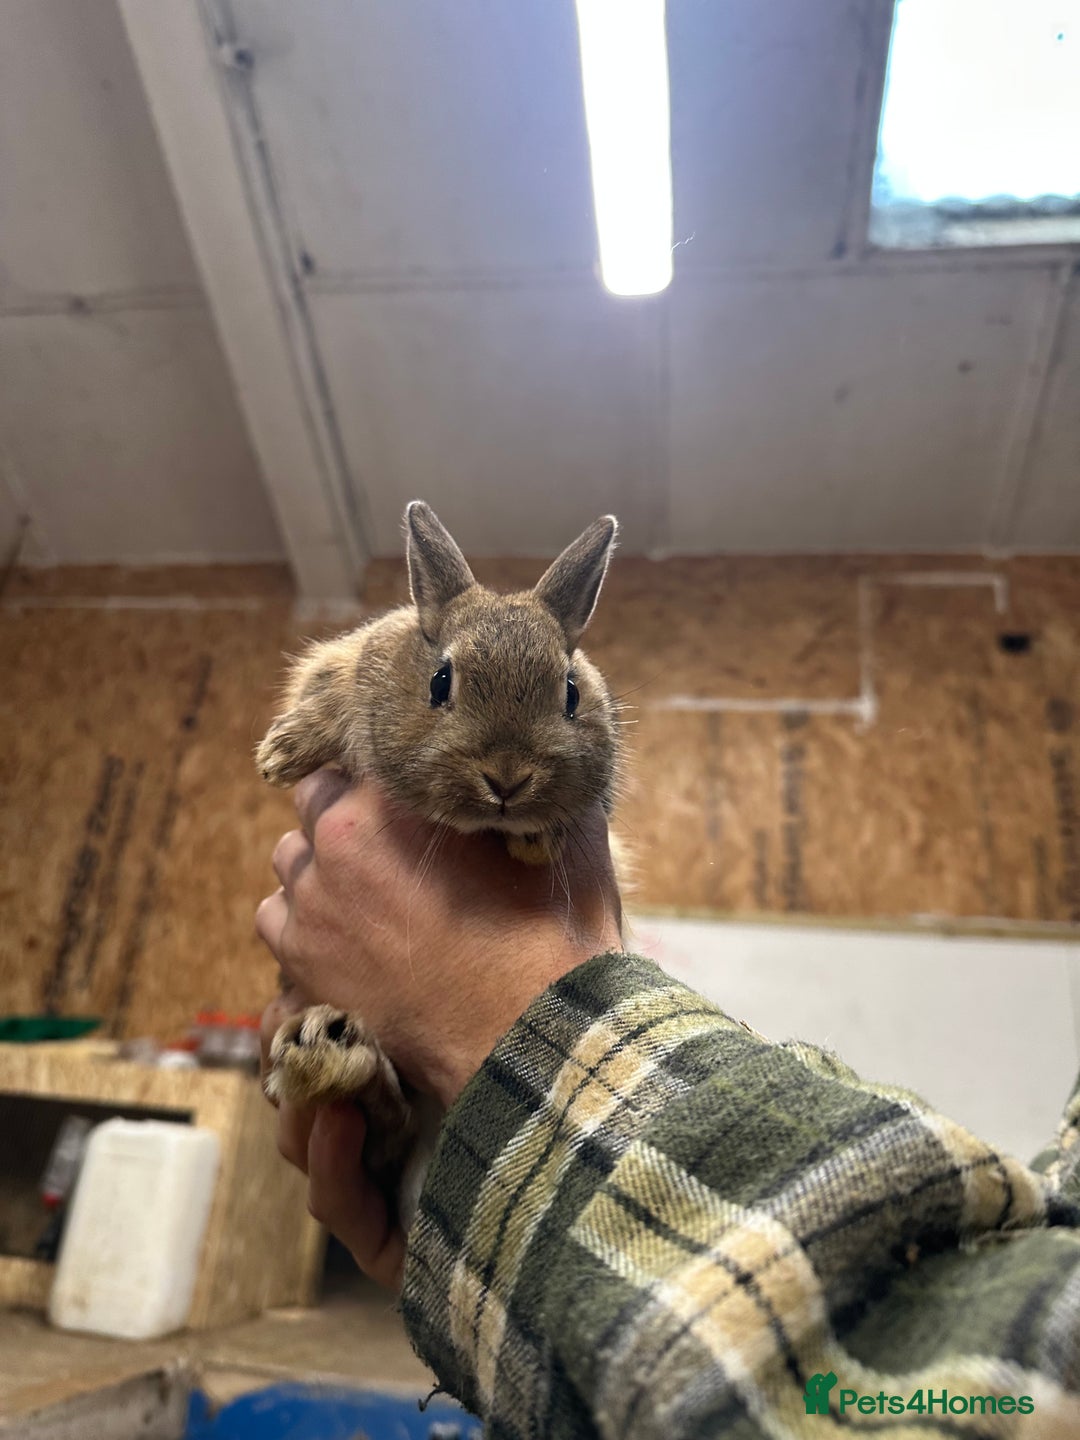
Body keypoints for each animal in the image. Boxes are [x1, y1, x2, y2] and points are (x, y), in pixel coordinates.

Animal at [258, 500, 622, 1230]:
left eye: (570, 693)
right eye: (441, 681)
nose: (507, 779)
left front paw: (537, 838)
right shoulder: (343, 669)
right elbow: (327, 698)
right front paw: (282, 752)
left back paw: (332, 1059)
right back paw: (326, 1056)